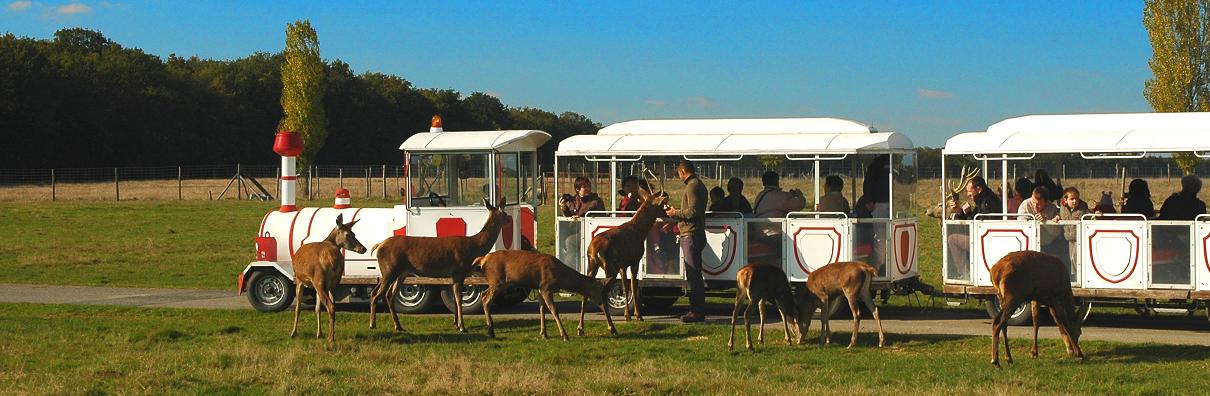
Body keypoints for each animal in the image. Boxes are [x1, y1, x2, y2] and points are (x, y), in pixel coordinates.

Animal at [290, 214, 365, 343]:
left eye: (353, 233)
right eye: (349, 234)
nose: (363, 248)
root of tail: (333, 261)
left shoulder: (299, 279)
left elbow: (298, 308)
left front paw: (293, 333)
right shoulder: (317, 284)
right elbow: (317, 308)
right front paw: (319, 334)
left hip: (319, 280)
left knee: (330, 306)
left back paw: (331, 338)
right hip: (334, 283)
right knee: (333, 306)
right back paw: (330, 335)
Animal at [363, 197, 505, 334]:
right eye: (505, 213)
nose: (508, 220)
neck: (474, 247)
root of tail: (379, 245)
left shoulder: (454, 275)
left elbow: (455, 298)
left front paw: (455, 324)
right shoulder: (459, 270)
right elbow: (459, 298)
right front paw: (462, 327)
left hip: (400, 273)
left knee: (389, 295)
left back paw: (398, 326)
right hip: (389, 269)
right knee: (375, 293)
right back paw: (372, 324)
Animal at [471, 251, 619, 341]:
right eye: (599, 292)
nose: (604, 305)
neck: (561, 277)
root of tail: (483, 259)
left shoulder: (540, 288)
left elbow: (542, 308)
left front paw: (544, 334)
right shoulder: (546, 286)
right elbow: (554, 310)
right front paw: (564, 335)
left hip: (500, 283)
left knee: (484, 295)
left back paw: (491, 331)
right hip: (497, 280)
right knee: (486, 299)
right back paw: (491, 331)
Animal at [578, 188, 672, 331]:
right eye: (662, 205)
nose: (667, 215)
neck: (640, 232)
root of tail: (594, 249)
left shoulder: (623, 264)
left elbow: (625, 287)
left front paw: (627, 316)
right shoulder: (635, 260)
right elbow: (632, 285)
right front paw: (638, 316)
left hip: (592, 264)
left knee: (586, 290)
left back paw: (580, 327)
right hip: (609, 266)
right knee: (602, 292)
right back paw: (611, 326)